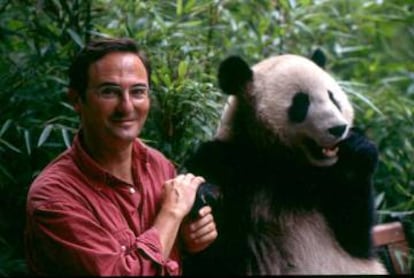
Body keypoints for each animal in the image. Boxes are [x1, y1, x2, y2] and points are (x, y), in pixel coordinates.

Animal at [184, 51, 388, 274]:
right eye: (301, 102)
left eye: (333, 97)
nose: (338, 128)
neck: (284, 164)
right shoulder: (228, 160)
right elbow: (216, 258)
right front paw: (206, 196)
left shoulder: (327, 178)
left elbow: (355, 235)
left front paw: (358, 151)